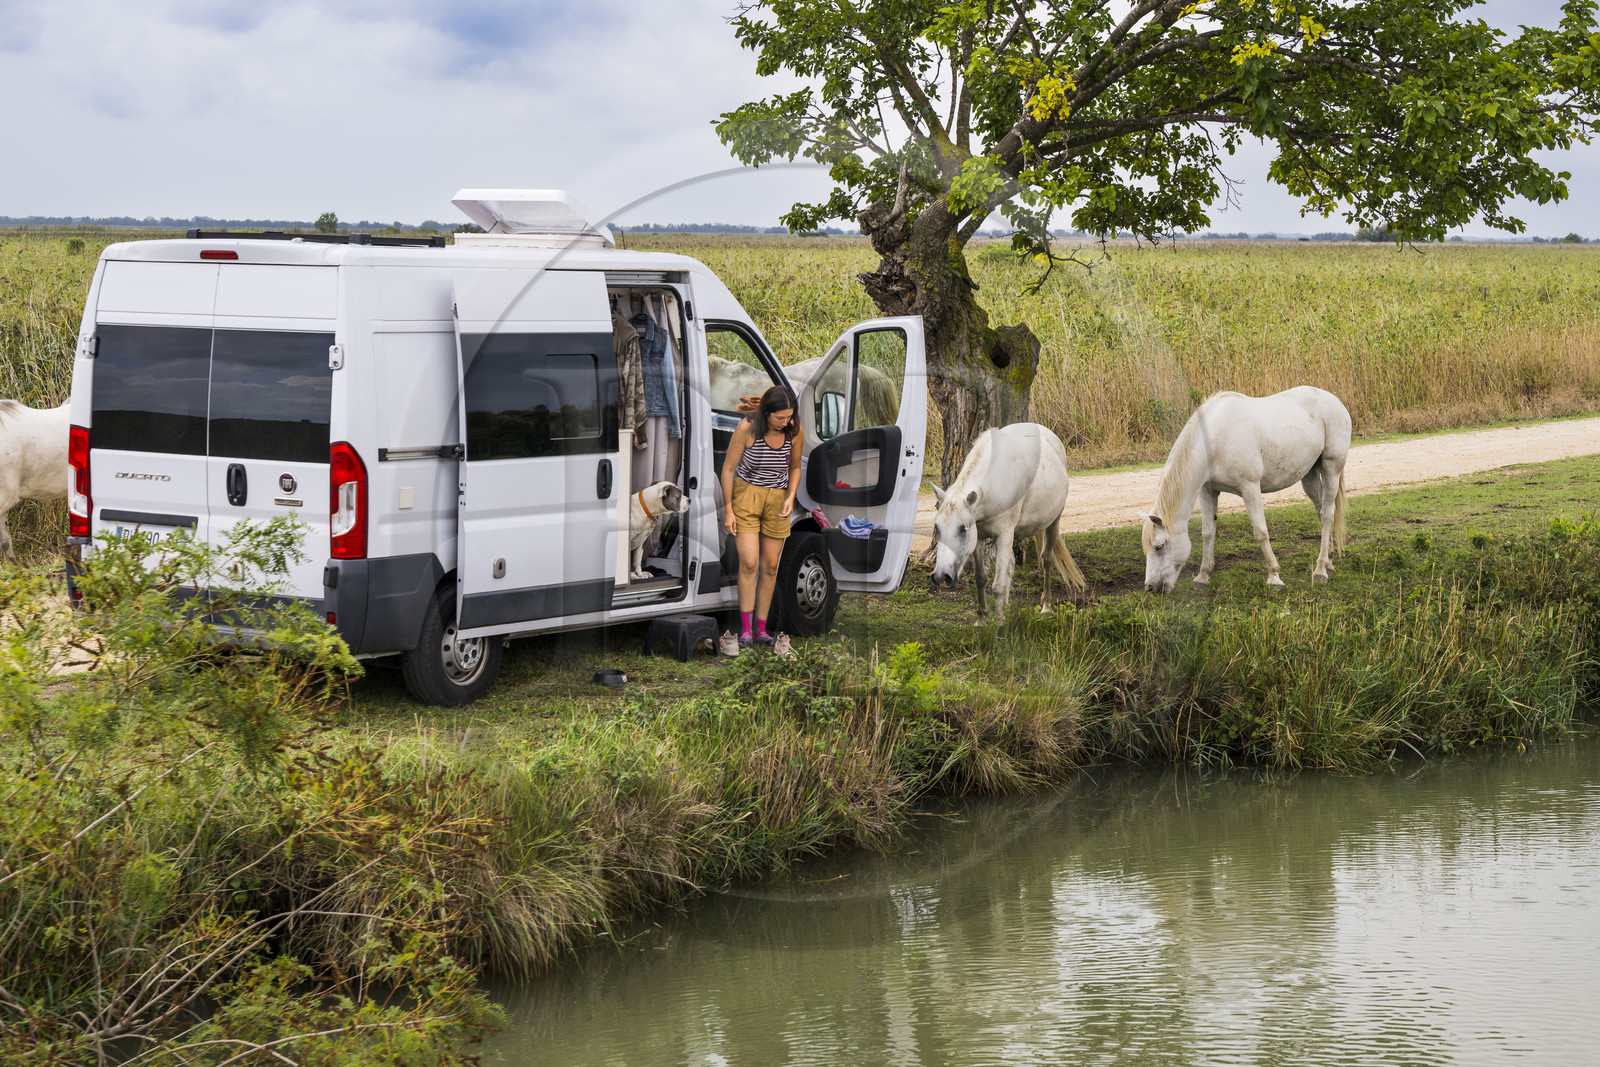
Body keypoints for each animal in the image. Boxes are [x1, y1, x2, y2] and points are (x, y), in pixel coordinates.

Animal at [929, 422, 1087, 618]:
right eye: (937, 528)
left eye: (962, 528)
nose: (941, 577)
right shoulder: (979, 538)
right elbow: (981, 579)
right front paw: (982, 618)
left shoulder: (1003, 536)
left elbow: (998, 586)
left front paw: (998, 624)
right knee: (1011, 565)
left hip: (1053, 523)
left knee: (1047, 559)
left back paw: (1046, 606)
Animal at [1138, 387, 1350, 593]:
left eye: (1159, 546)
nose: (1151, 587)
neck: (1215, 441)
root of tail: (1335, 400)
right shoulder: (1207, 491)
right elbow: (1208, 533)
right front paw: (1203, 577)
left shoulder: (1250, 488)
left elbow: (1260, 531)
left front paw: (1274, 577)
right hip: (1310, 474)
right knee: (1320, 511)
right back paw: (1329, 561)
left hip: (1331, 469)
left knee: (1327, 514)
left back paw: (1320, 571)